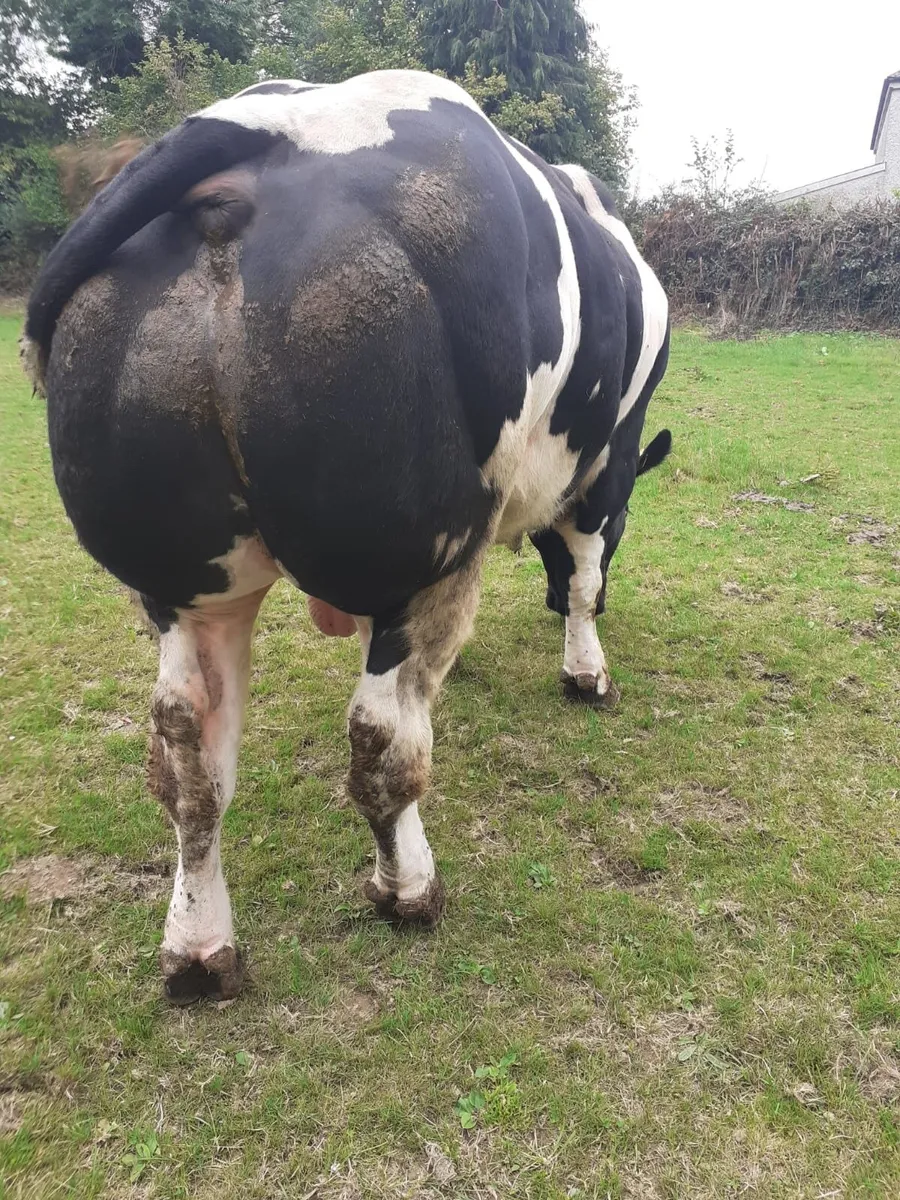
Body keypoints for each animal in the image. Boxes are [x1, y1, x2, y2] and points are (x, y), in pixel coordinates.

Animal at [22, 70, 671, 1004]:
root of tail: (266, 129)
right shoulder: (608, 464)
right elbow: (585, 572)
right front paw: (586, 669)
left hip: (185, 580)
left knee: (186, 755)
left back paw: (199, 947)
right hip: (413, 554)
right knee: (380, 743)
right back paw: (409, 889)